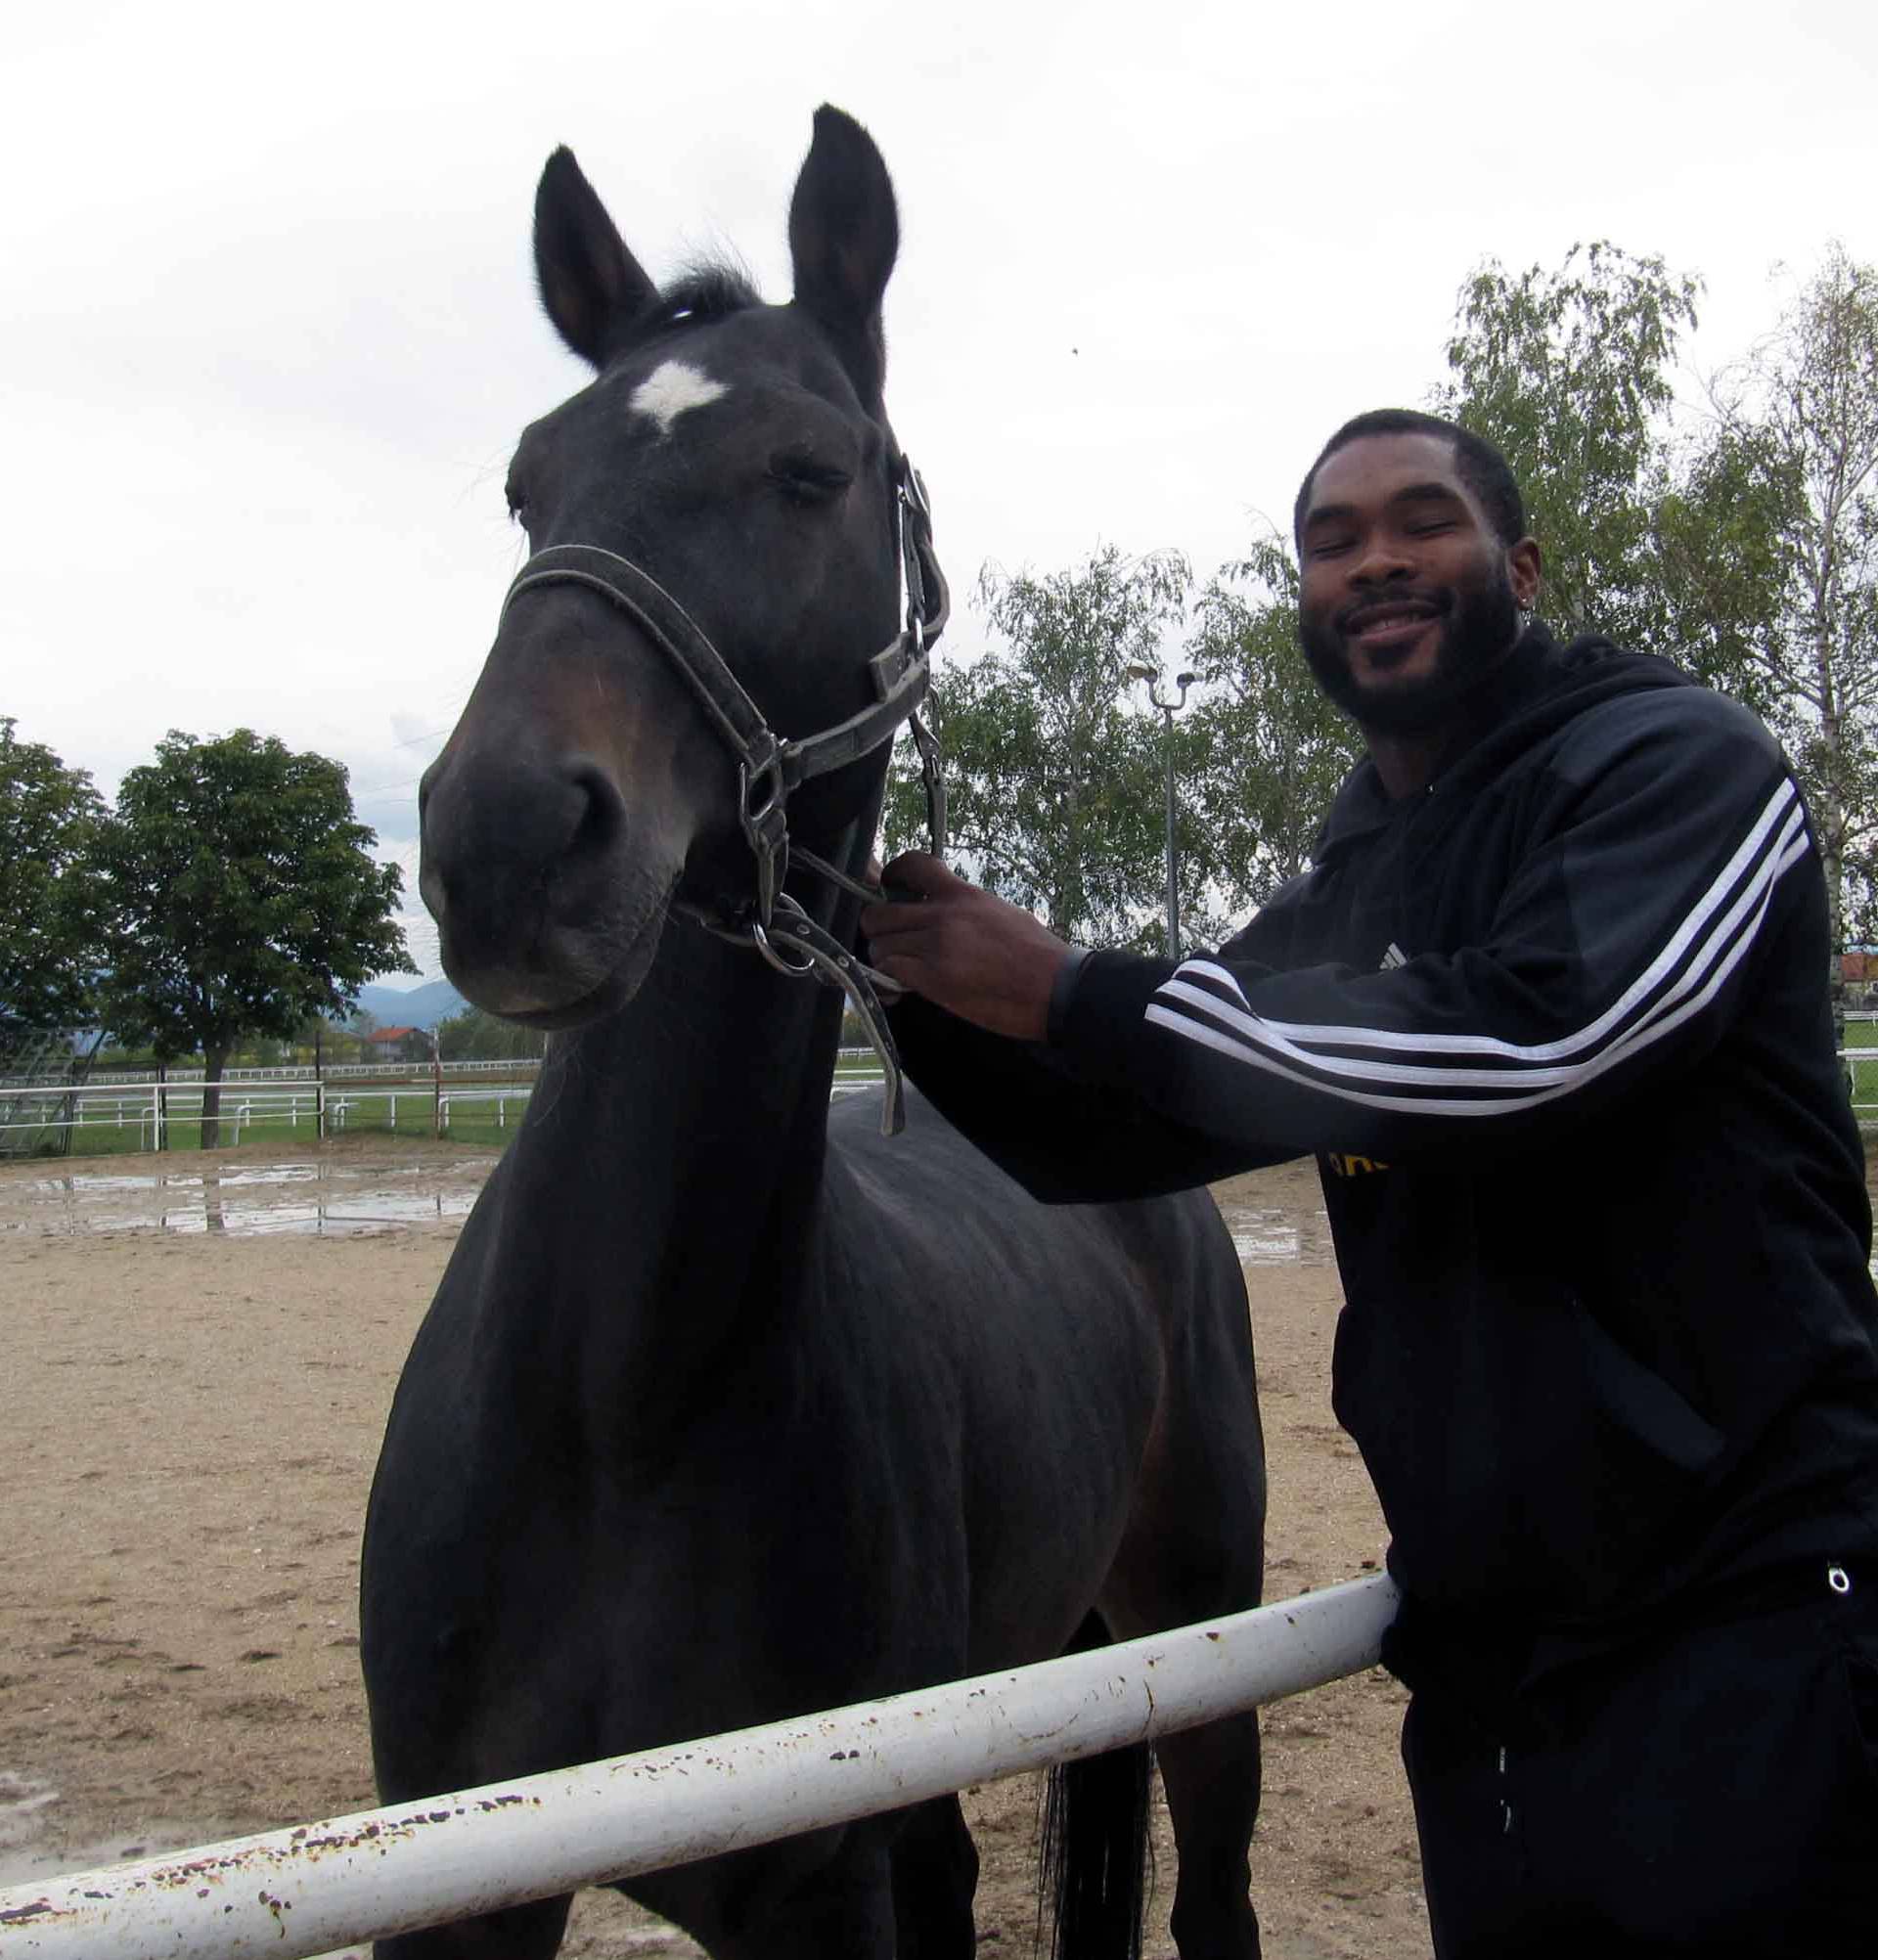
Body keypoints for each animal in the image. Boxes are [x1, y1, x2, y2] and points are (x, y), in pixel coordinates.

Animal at [360, 107, 1270, 1960]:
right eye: (527, 482)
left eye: (809, 470)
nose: (505, 838)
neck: (619, 1414)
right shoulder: (455, 1879)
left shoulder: (812, 1878)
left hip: (1196, 1650)